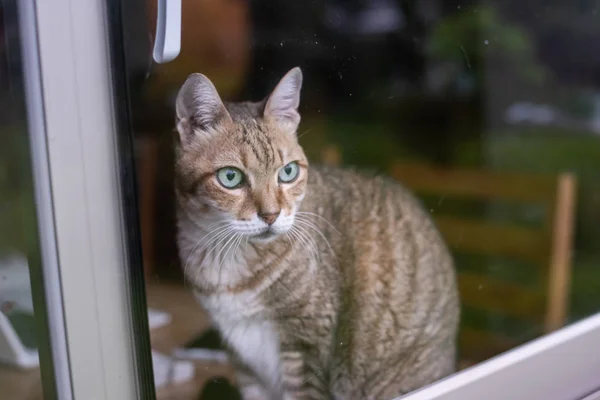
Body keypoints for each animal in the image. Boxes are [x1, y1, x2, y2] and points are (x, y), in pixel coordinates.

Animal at [173, 67, 460, 398]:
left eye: (288, 172)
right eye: (230, 177)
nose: (270, 215)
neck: (228, 257)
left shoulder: (306, 347)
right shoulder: (243, 360)